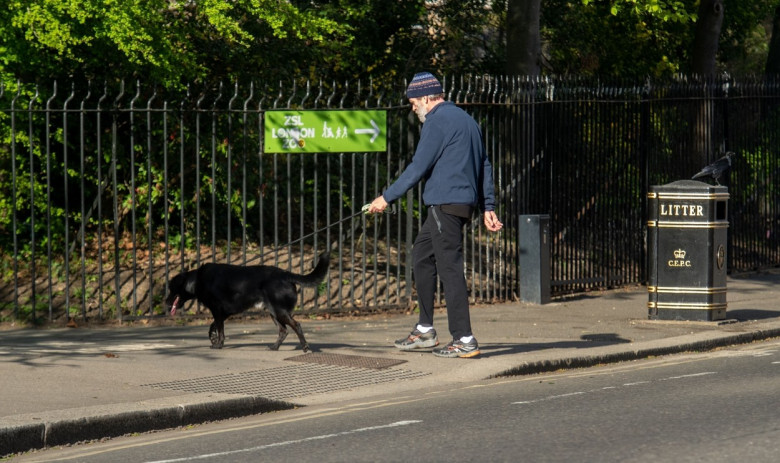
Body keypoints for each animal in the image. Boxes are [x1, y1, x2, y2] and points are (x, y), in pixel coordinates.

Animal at [166, 254, 330, 352]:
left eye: (171, 289)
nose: (165, 302)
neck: (197, 281)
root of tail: (286, 275)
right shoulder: (224, 312)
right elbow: (214, 327)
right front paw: (213, 338)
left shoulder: (218, 310)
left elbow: (220, 330)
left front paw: (218, 344)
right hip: (273, 312)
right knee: (283, 331)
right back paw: (274, 347)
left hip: (279, 311)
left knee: (296, 325)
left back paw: (305, 346)